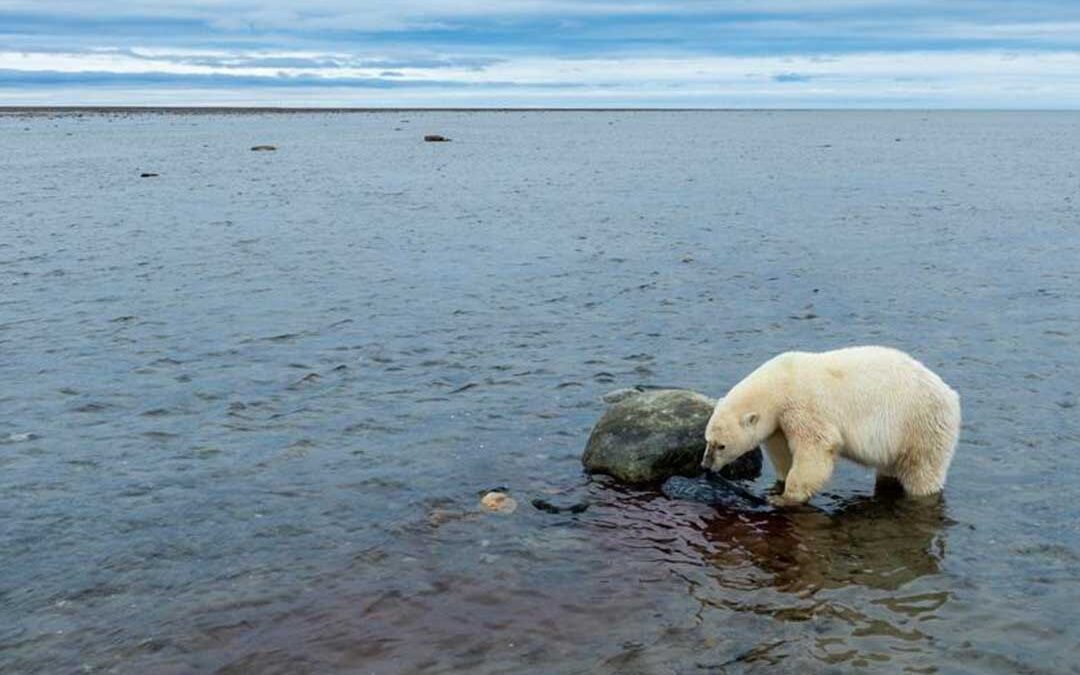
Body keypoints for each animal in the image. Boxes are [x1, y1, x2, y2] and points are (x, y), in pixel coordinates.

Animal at [701, 346, 961, 507]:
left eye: (721, 446)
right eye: (708, 441)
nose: (705, 465)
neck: (781, 381)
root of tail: (951, 396)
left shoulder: (803, 407)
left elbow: (817, 446)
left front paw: (785, 498)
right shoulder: (779, 421)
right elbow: (781, 449)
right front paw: (778, 485)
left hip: (920, 426)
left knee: (922, 473)